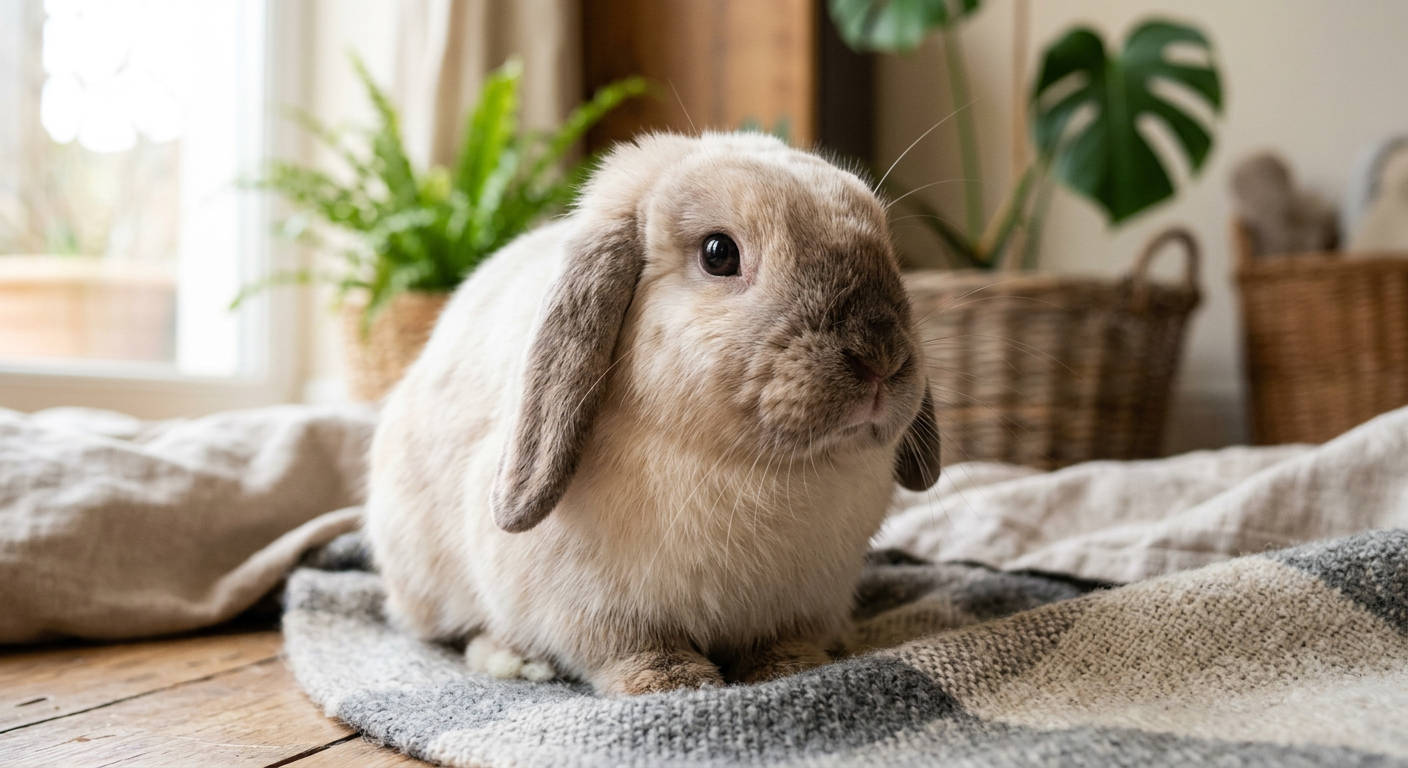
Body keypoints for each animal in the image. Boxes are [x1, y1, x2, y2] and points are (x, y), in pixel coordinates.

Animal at [364, 131, 942, 696]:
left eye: (886, 248)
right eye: (718, 253)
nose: (880, 359)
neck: (757, 468)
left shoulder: (803, 603)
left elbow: (782, 643)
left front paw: (792, 669)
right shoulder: (594, 608)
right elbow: (632, 649)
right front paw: (672, 684)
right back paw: (515, 659)